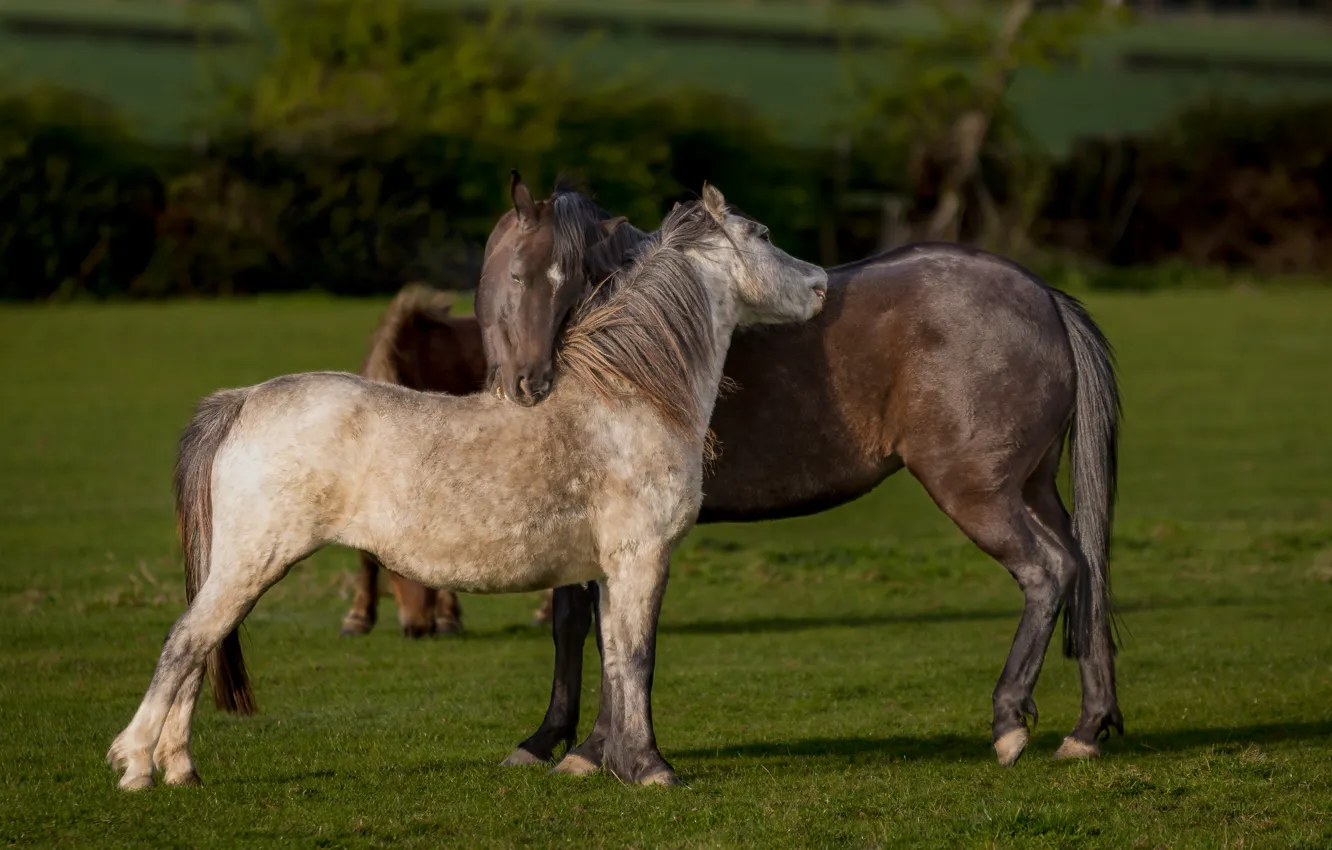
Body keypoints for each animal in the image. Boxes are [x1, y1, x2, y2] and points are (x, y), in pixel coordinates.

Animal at [105, 186, 829, 790]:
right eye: (763, 233)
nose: (822, 282)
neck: (629, 398)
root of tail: (243, 400)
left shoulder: (608, 569)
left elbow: (614, 660)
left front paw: (605, 761)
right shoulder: (641, 558)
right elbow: (637, 659)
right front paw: (650, 769)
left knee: (199, 650)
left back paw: (180, 769)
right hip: (250, 562)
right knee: (186, 643)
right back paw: (138, 765)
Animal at [473, 177, 1122, 775]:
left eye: (571, 280)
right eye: (516, 276)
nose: (532, 381)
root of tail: (1042, 294)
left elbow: (612, 633)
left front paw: (591, 748)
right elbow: (578, 624)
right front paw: (556, 742)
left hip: (978, 495)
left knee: (1046, 573)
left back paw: (1010, 720)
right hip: (1032, 490)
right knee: (1083, 571)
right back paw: (1087, 729)